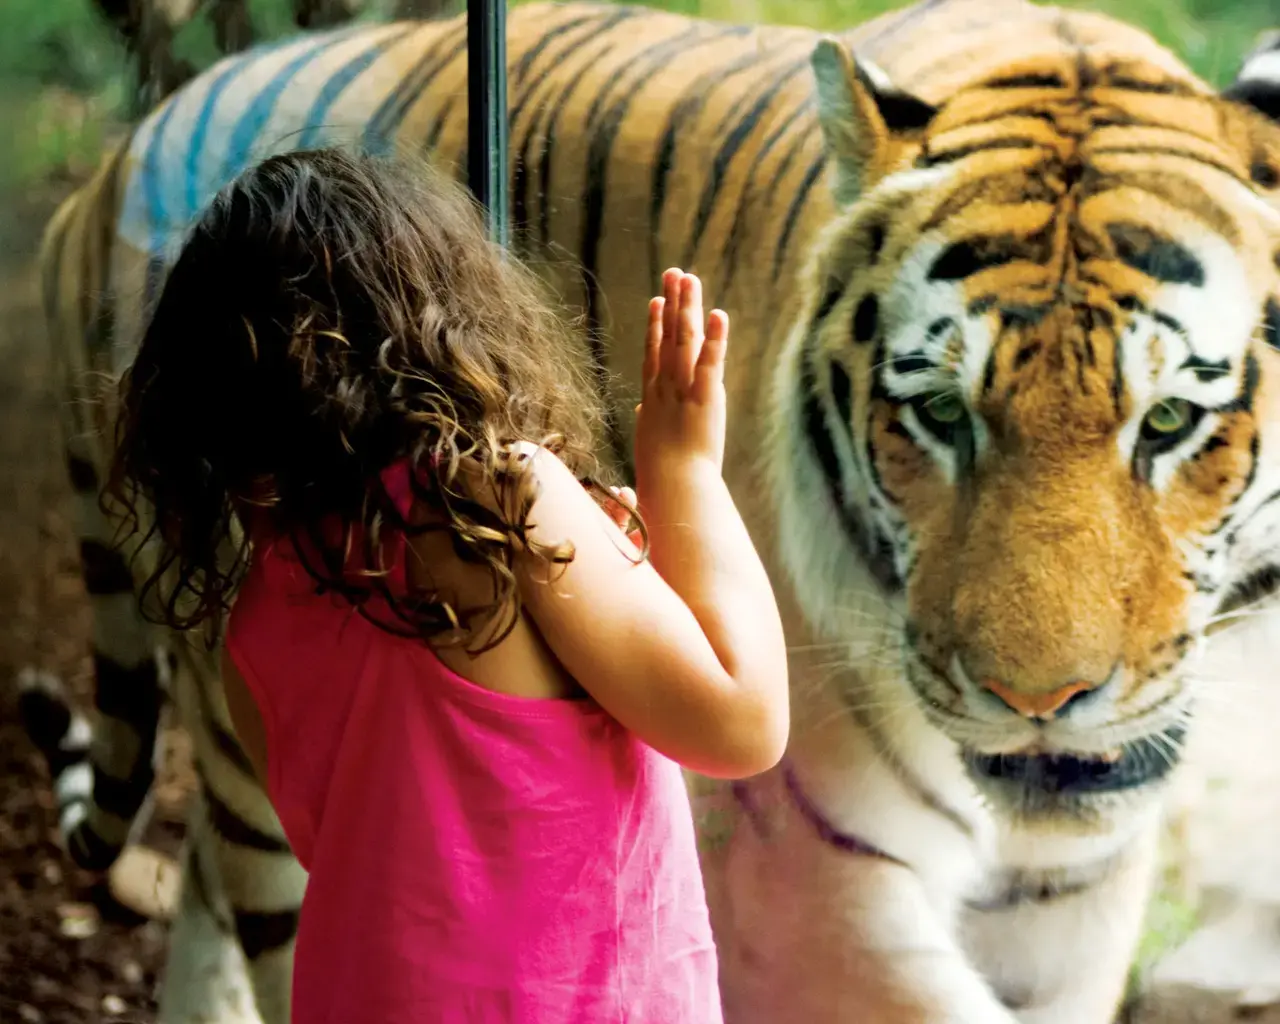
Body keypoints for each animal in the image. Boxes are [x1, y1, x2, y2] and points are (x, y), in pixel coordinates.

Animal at [22, 0, 1280, 1018]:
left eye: (1169, 421)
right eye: (937, 412)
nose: (1036, 704)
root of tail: (126, 146)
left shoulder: (1069, 897)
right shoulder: (800, 870)